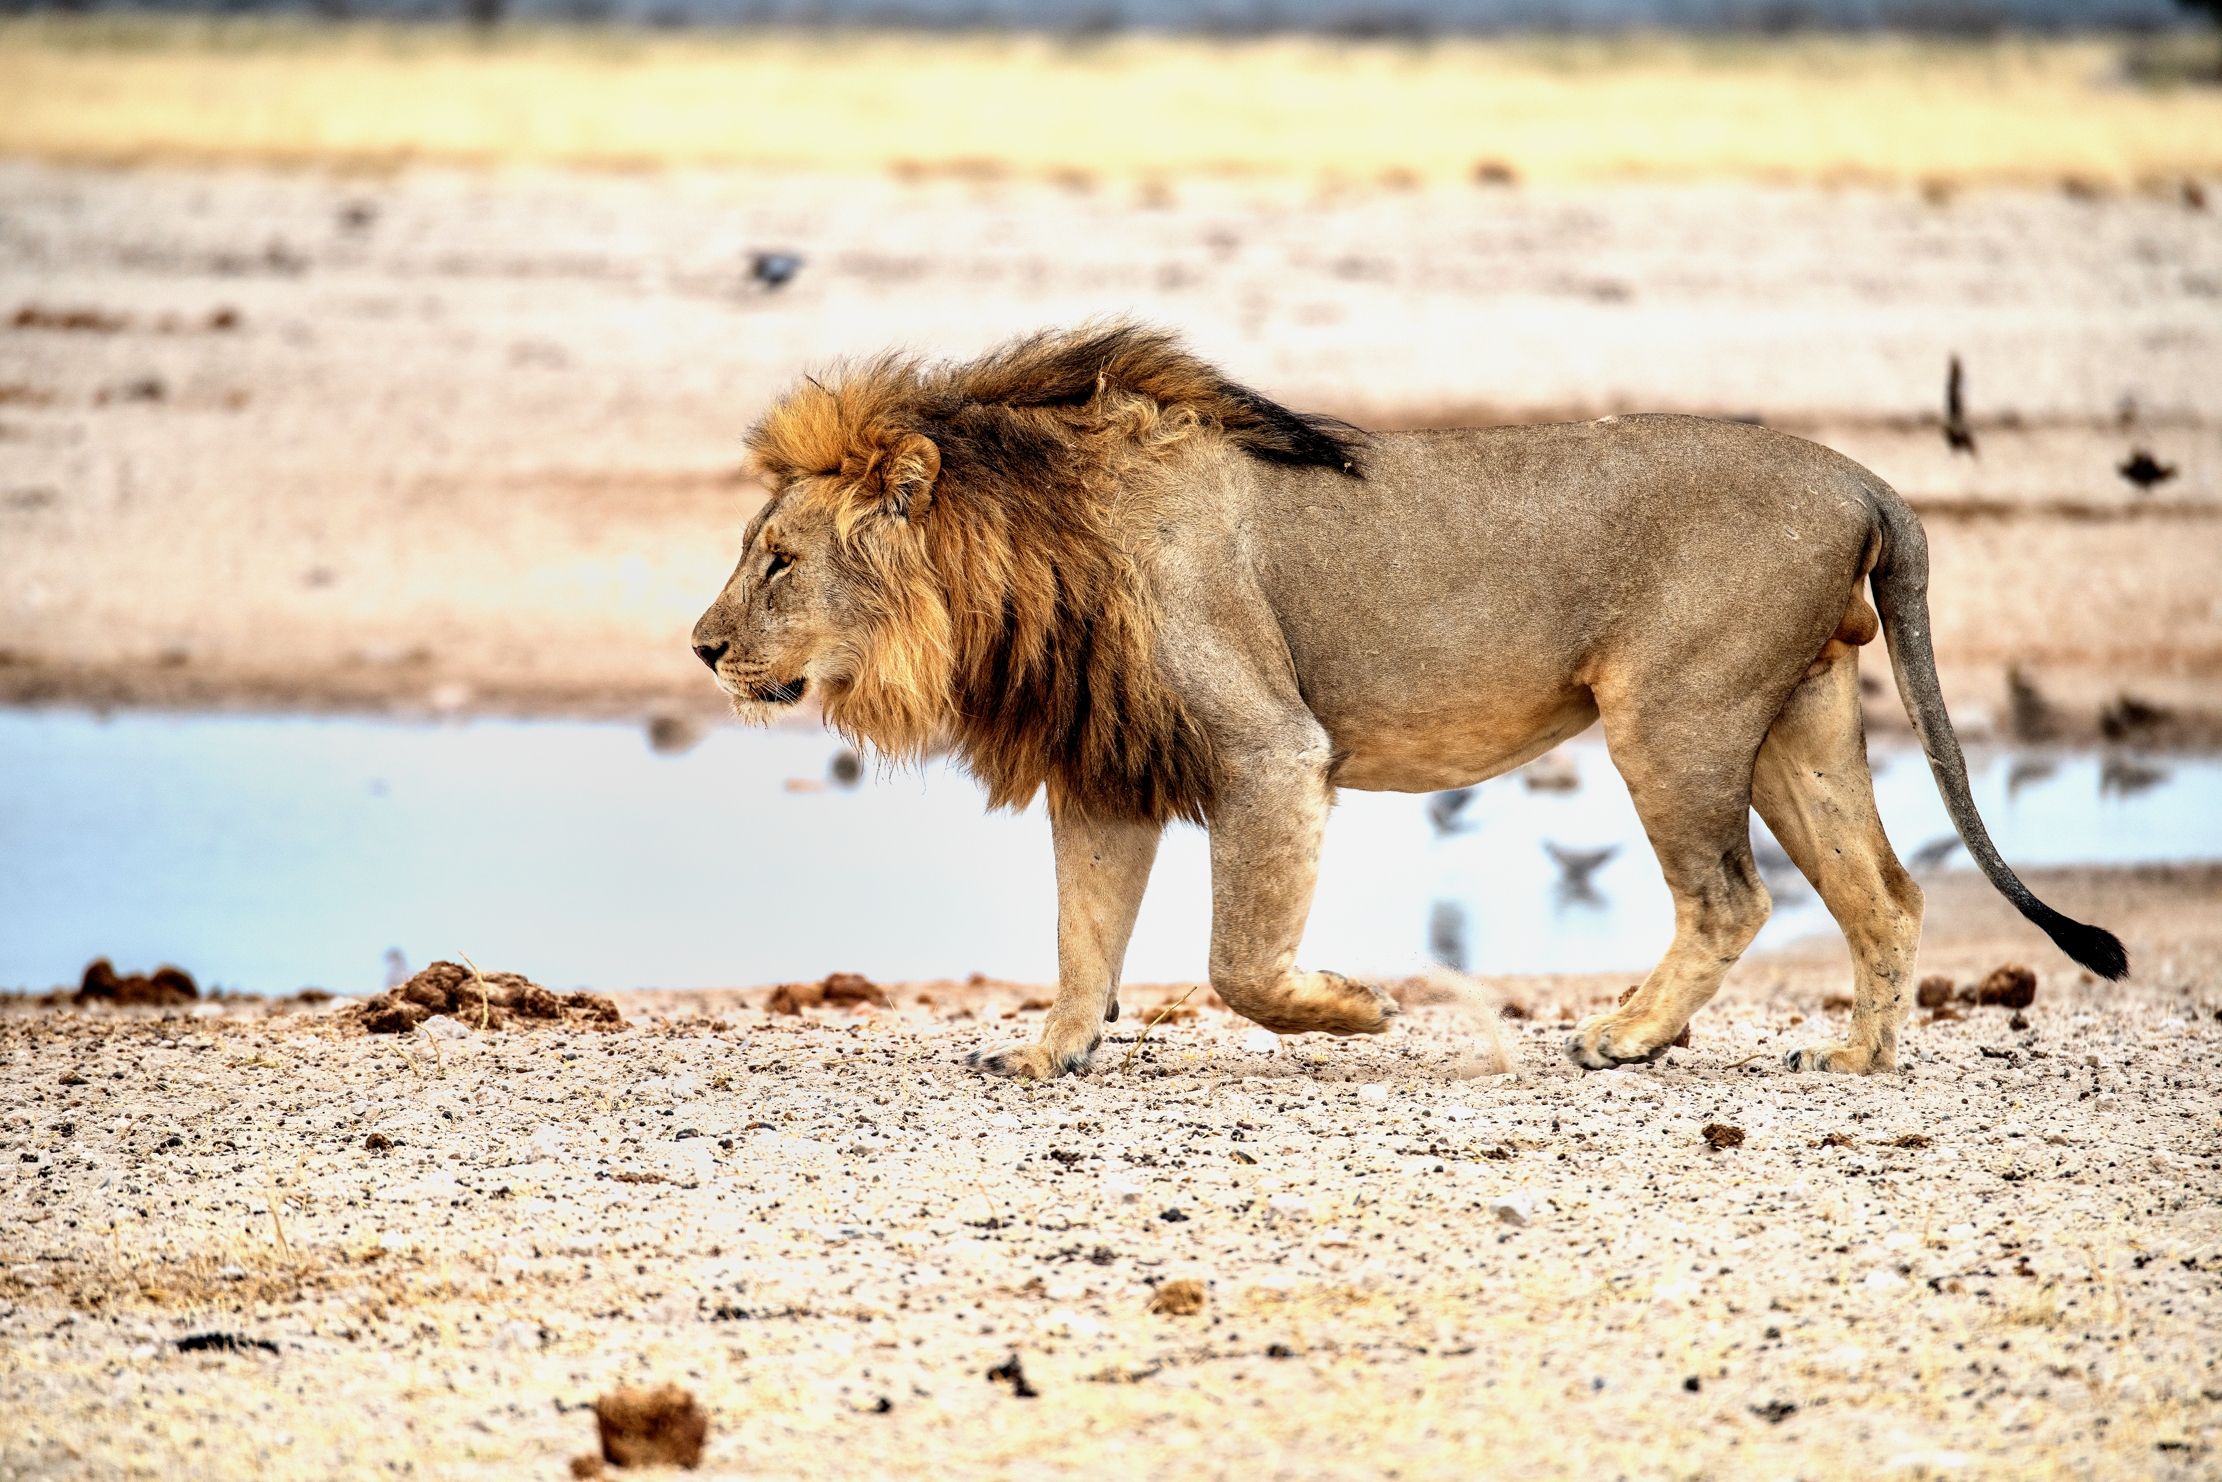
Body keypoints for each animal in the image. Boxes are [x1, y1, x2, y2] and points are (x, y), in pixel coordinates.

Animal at [691, 323, 2127, 1079]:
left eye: (778, 560)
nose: (700, 648)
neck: (1025, 558)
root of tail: (1861, 477)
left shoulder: (1270, 750)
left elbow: (1238, 963)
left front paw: (1353, 1006)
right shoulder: (1105, 768)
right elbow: (1080, 937)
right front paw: (1049, 1053)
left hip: (1672, 711)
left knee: (1731, 894)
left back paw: (1622, 1034)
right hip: (1797, 717)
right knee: (1882, 889)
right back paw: (1859, 1057)